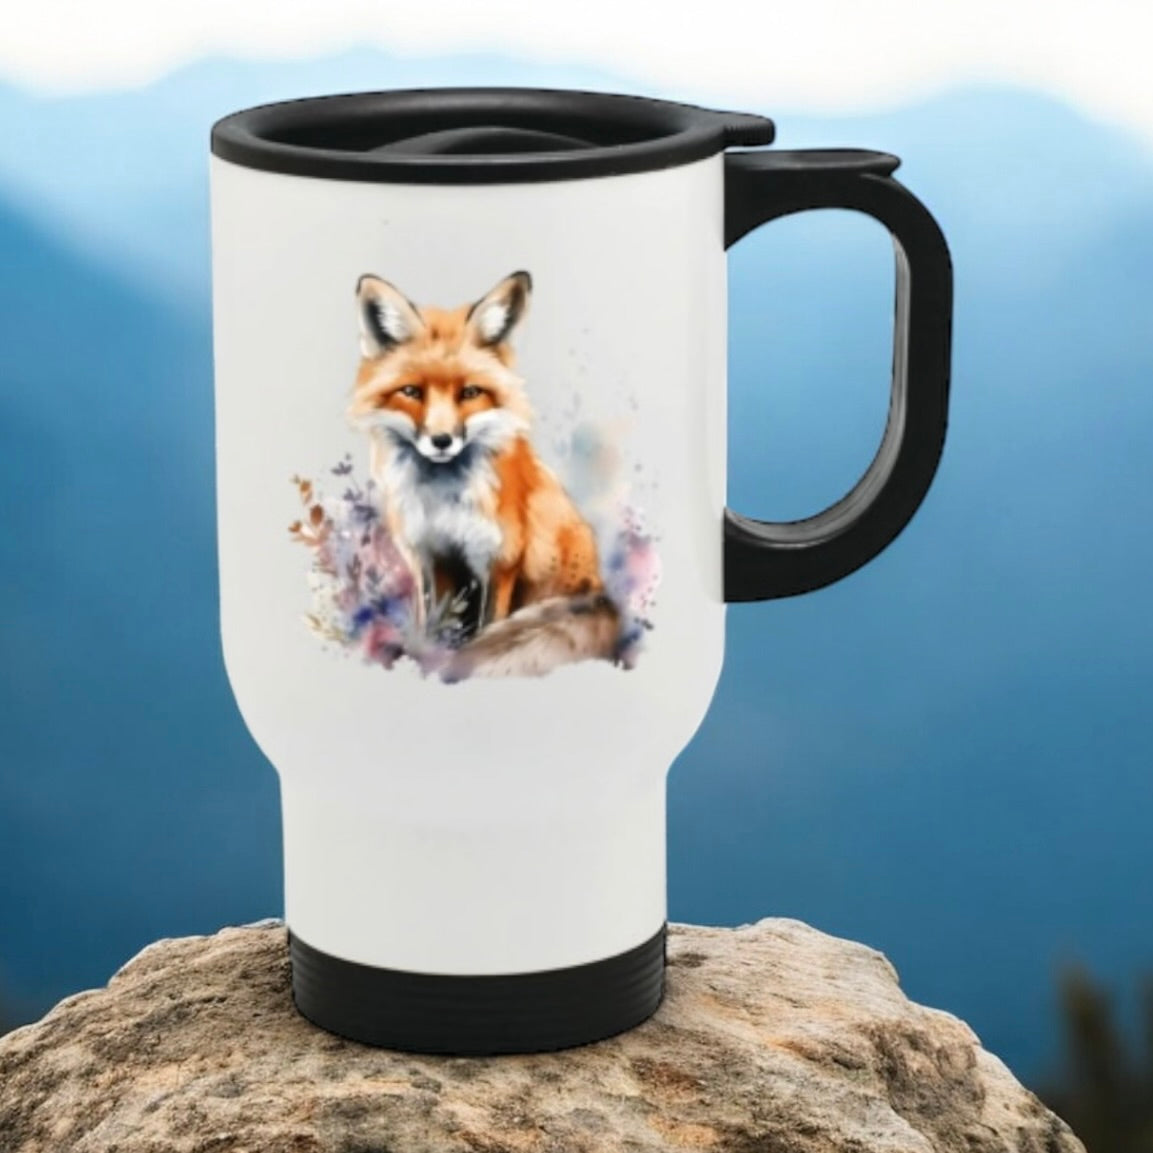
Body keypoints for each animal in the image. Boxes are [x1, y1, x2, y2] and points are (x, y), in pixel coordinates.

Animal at [346, 269, 621, 679]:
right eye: (411, 392)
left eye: (470, 393)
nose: (441, 441)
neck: (443, 501)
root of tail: (602, 594)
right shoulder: (429, 557)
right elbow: (432, 626)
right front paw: (429, 658)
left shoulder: (499, 562)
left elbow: (488, 625)